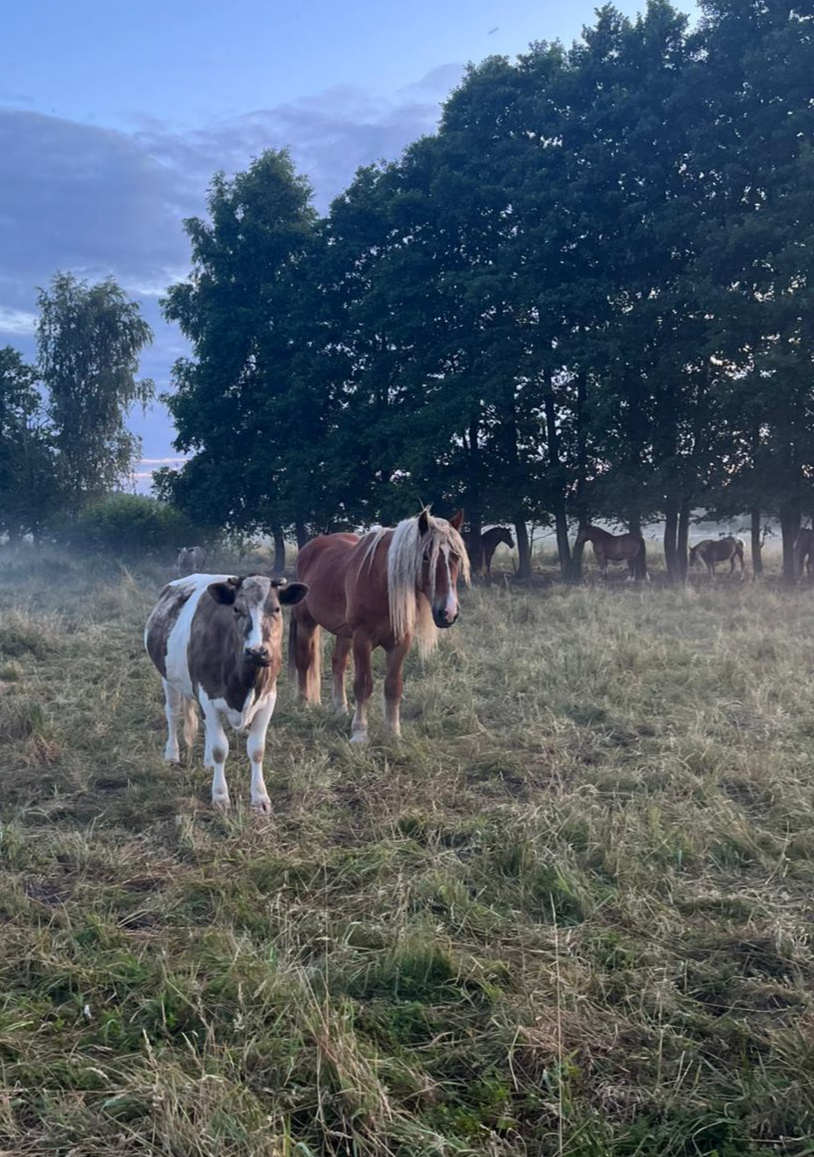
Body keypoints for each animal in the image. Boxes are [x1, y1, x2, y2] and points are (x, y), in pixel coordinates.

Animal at [145, 573, 307, 812]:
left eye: (277, 609)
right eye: (237, 608)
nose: (257, 652)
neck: (245, 682)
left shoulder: (268, 698)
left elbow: (257, 749)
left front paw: (260, 798)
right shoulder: (206, 695)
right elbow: (220, 749)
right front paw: (220, 797)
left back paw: (207, 763)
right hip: (168, 679)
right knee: (172, 714)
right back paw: (172, 754)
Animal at [290, 509, 469, 743]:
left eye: (456, 556)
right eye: (426, 556)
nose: (448, 612)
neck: (382, 583)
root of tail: (309, 548)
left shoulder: (401, 642)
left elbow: (393, 686)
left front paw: (393, 732)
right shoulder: (362, 639)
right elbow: (363, 684)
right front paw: (359, 733)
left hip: (344, 633)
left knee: (338, 663)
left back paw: (340, 707)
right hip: (307, 622)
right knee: (303, 661)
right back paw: (303, 704)